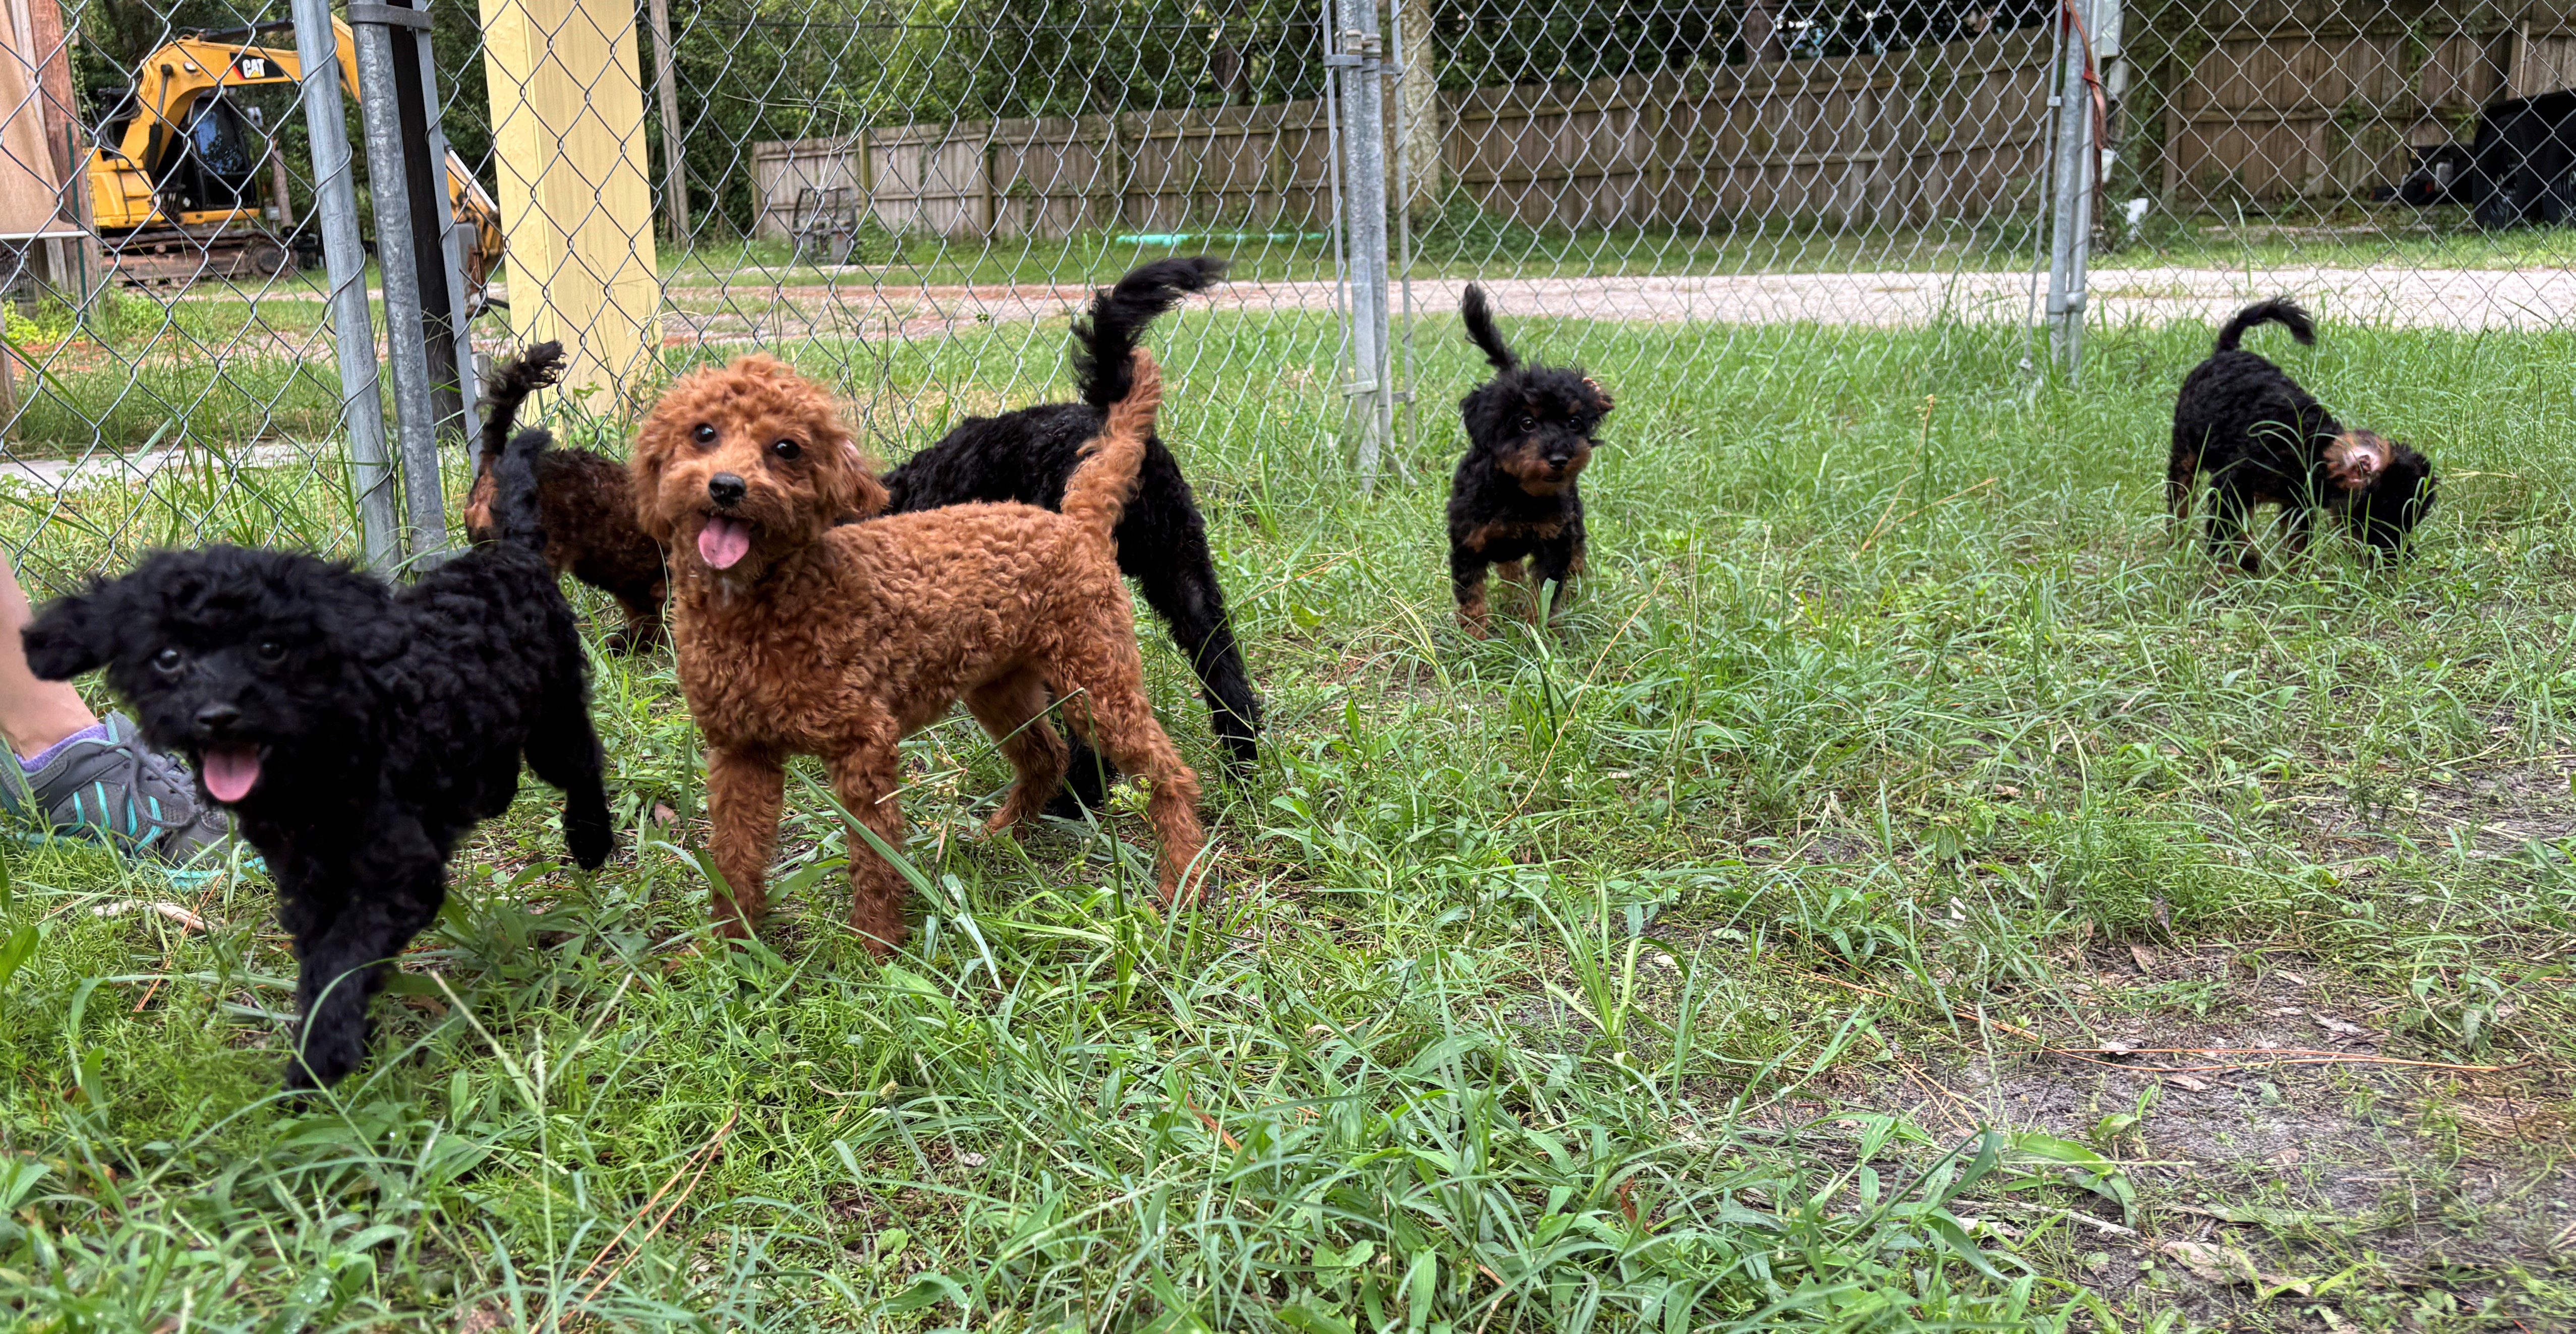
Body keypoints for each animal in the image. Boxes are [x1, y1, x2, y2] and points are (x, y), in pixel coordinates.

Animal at [24, 347, 613, 1097]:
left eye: (273, 647)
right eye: (168, 657)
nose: (218, 716)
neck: (332, 748)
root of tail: (507, 552)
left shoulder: (396, 877)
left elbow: (342, 962)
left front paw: (320, 1059)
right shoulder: (307, 883)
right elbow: (320, 962)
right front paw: (327, 1048)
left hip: (554, 718)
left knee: (583, 762)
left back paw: (591, 838)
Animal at [638, 345, 1210, 953]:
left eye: (786, 448)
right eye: (703, 432)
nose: (726, 487)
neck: (768, 601)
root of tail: (1076, 520)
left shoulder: (865, 744)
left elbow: (874, 858)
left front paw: (877, 948)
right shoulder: (739, 752)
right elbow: (734, 858)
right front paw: (728, 947)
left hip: (1096, 681)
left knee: (1169, 773)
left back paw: (1183, 880)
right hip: (999, 687)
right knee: (1046, 757)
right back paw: (1000, 834)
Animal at [1452, 282, 1607, 638]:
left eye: (1574, 423)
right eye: (1526, 423)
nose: (1561, 458)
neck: (1517, 493)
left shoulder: (1554, 540)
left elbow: (1546, 591)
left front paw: (1540, 631)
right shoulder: (1469, 543)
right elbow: (1472, 597)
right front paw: (1474, 640)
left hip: (1573, 518)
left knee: (1576, 552)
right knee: (1510, 568)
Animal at [2174, 298, 2431, 574]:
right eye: (2383, 521)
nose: (2405, 560)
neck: (2311, 448)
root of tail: (2225, 353)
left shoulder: (2296, 505)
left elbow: (2296, 545)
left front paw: (2295, 576)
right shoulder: (2230, 489)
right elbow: (2225, 537)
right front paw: (2240, 568)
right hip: (2185, 448)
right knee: (2180, 496)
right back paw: (2176, 545)